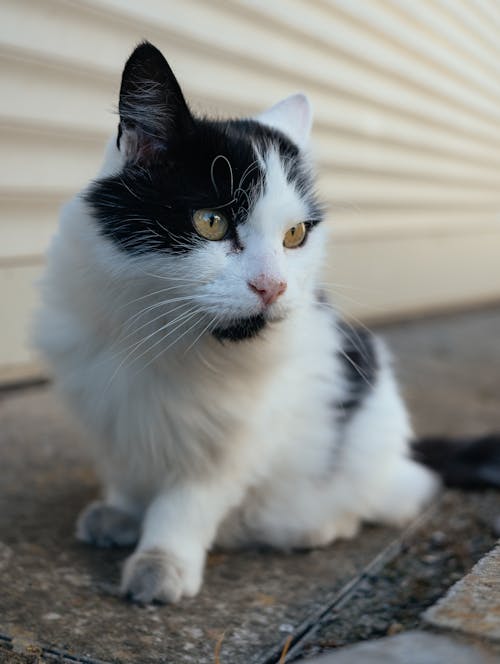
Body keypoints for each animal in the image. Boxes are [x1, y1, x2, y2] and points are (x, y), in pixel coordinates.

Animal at [35, 40, 500, 600]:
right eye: (211, 222)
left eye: (295, 235)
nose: (272, 286)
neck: (161, 335)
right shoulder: (109, 410)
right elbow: (127, 470)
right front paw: (122, 513)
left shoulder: (235, 440)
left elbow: (186, 501)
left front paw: (161, 562)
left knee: (392, 496)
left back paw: (317, 526)